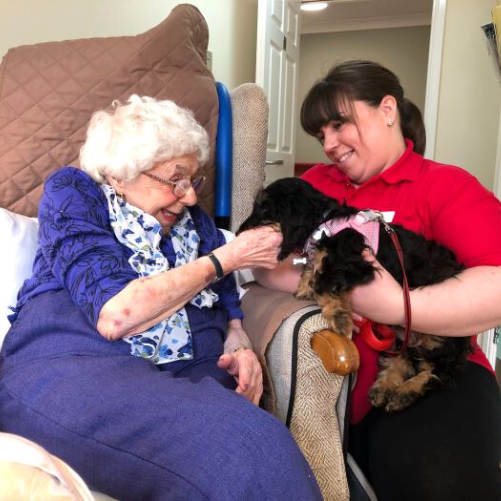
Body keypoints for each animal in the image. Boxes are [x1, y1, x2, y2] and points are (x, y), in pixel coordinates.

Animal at [240, 178, 470, 412]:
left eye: (264, 207)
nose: (240, 231)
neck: (324, 221)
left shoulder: (350, 260)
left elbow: (325, 280)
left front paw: (338, 316)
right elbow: (315, 267)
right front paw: (305, 285)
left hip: (436, 337)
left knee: (440, 371)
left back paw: (405, 392)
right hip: (402, 331)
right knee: (403, 358)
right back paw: (384, 387)